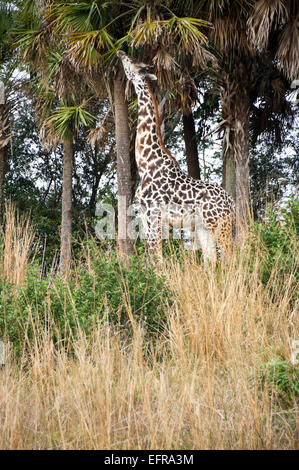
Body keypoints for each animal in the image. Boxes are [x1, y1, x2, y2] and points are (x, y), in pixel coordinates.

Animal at [117, 52, 237, 264]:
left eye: (136, 63)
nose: (121, 53)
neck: (146, 163)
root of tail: (231, 202)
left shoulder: (154, 213)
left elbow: (157, 257)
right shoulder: (145, 215)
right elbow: (151, 257)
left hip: (218, 224)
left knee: (233, 256)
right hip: (204, 228)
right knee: (212, 259)